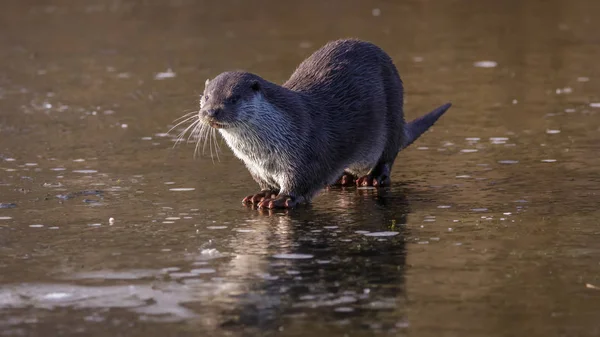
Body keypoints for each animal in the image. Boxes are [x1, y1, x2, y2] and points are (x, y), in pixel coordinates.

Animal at [192, 38, 450, 207]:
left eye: (232, 98)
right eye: (206, 96)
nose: (210, 112)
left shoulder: (306, 153)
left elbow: (301, 183)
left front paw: (282, 199)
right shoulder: (255, 167)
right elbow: (266, 184)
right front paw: (263, 194)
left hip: (393, 112)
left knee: (387, 156)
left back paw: (374, 177)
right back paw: (344, 178)